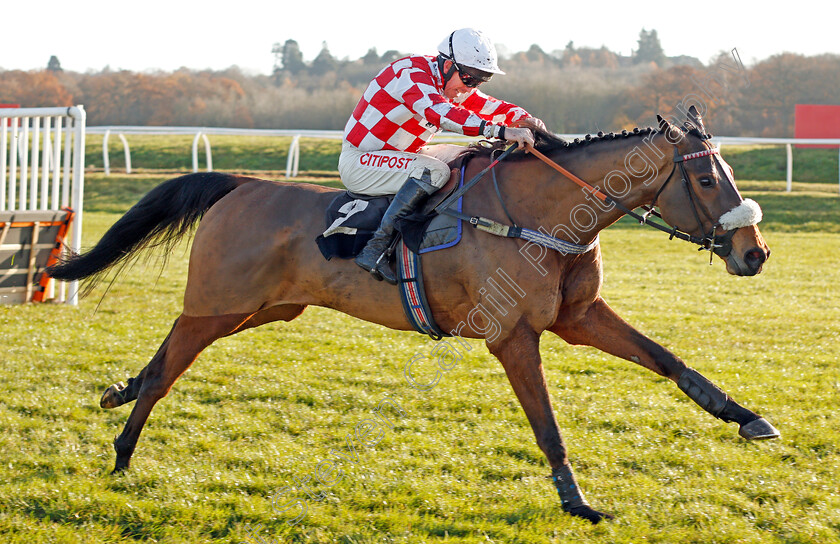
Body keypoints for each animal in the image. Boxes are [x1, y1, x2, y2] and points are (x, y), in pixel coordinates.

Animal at [49, 108, 776, 524]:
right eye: (705, 181)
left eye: (727, 174)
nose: (754, 252)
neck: (537, 216)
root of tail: (241, 185)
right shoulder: (513, 336)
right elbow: (547, 427)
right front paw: (577, 502)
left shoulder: (580, 316)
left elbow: (671, 362)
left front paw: (747, 417)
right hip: (219, 305)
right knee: (168, 369)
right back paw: (122, 452)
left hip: (261, 310)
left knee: (167, 352)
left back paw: (119, 393)